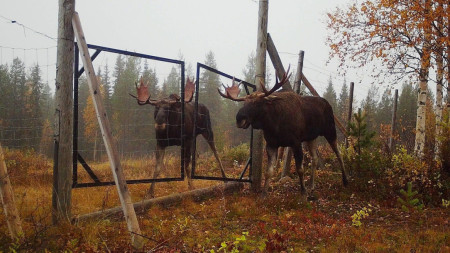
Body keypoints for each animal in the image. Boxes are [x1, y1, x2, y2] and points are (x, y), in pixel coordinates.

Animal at [220, 68, 350, 195]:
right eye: (244, 102)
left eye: (257, 103)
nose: (239, 119)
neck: (273, 125)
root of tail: (328, 104)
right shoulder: (271, 144)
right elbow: (269, 171)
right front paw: (264, 194)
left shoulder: (296, 142)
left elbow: (300, 169)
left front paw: (303, 192)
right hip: (311, 137)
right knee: (315, 158)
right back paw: (312, 186)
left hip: (330, 130)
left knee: (339, 153)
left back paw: (345, 180)